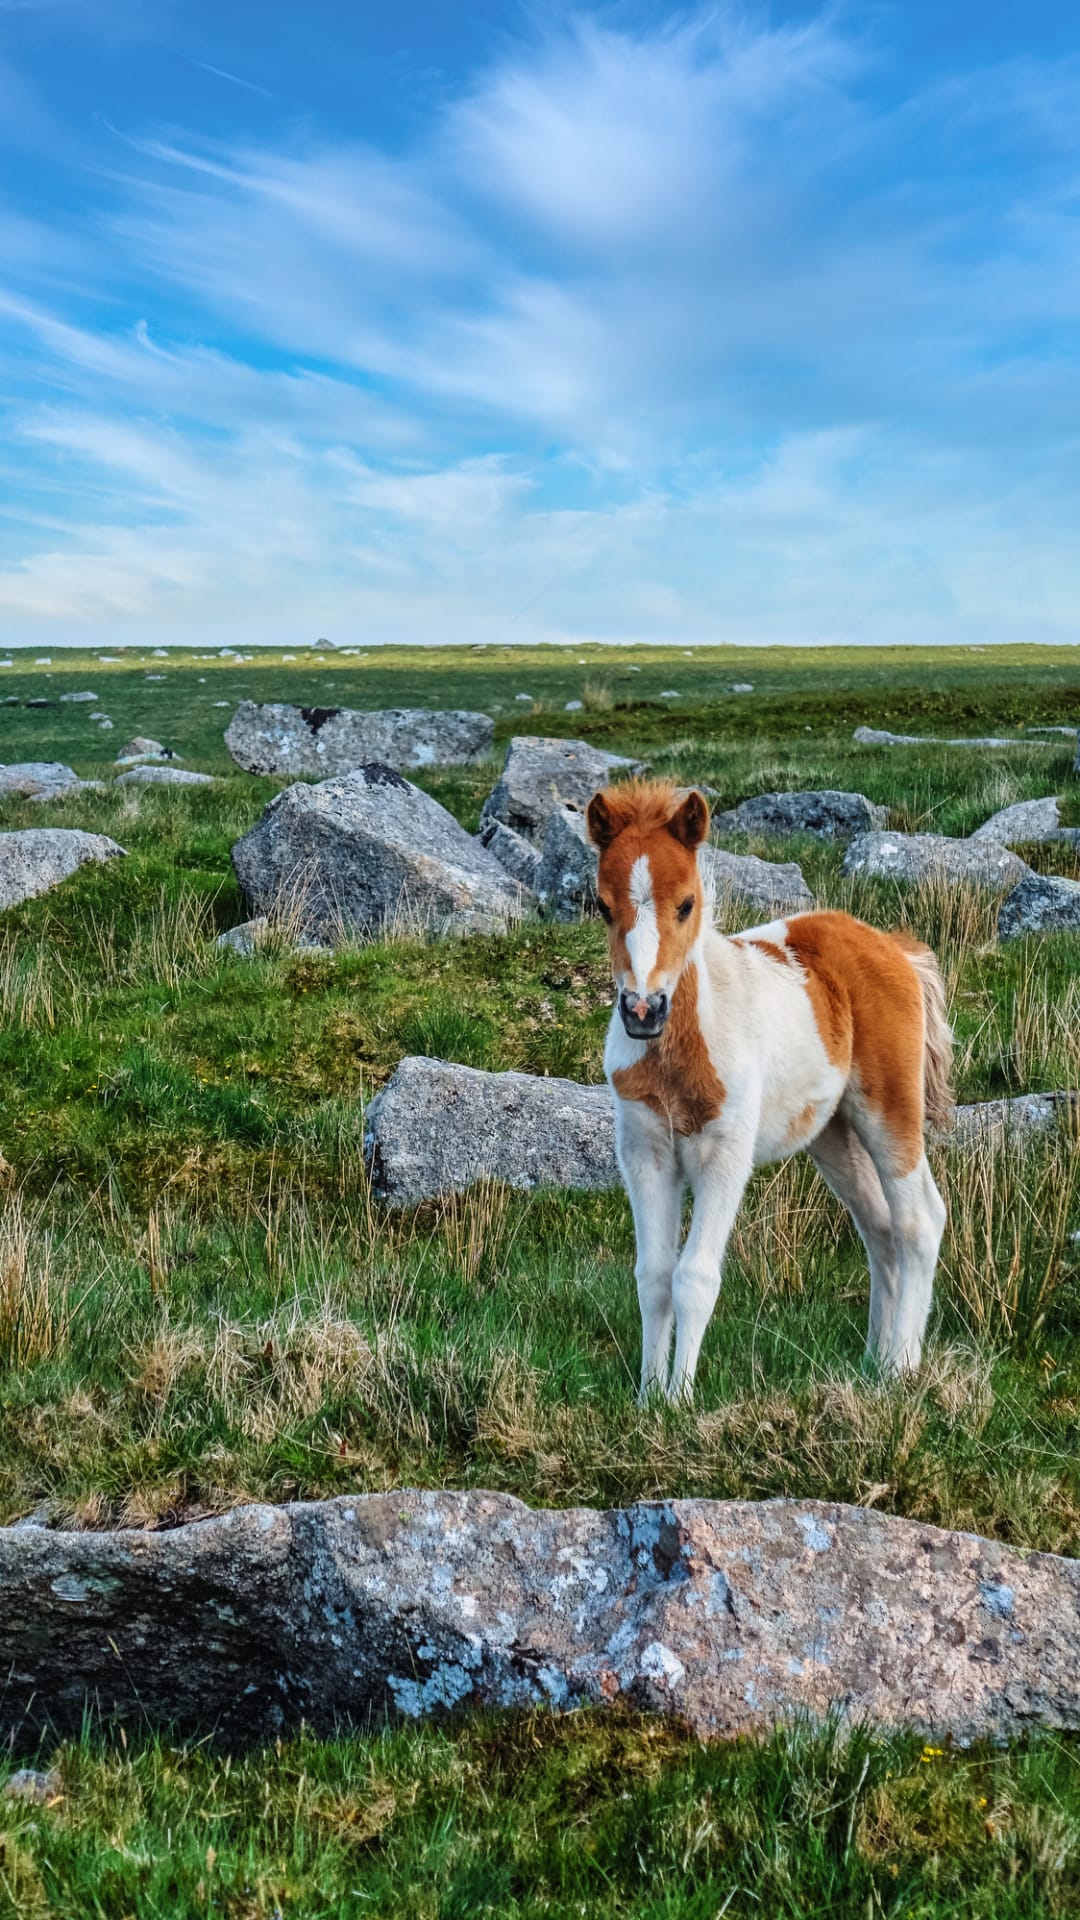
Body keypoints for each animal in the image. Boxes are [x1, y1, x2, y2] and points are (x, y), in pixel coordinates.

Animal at [584, 775, 945, 1397]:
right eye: (603, 906)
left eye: (687, 903)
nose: (642, 1011)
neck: (682, 1053)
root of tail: (894, 947)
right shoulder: (645, 1152)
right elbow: (653, 1277)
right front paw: (647, 1398)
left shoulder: (725, 1153)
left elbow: (695, 1277)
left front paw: (679, 1401)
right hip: (832, 1132)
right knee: (878, 1229)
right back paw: (872, 1365)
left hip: (889, 1108)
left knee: (918, 1220)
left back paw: (901, 1369)